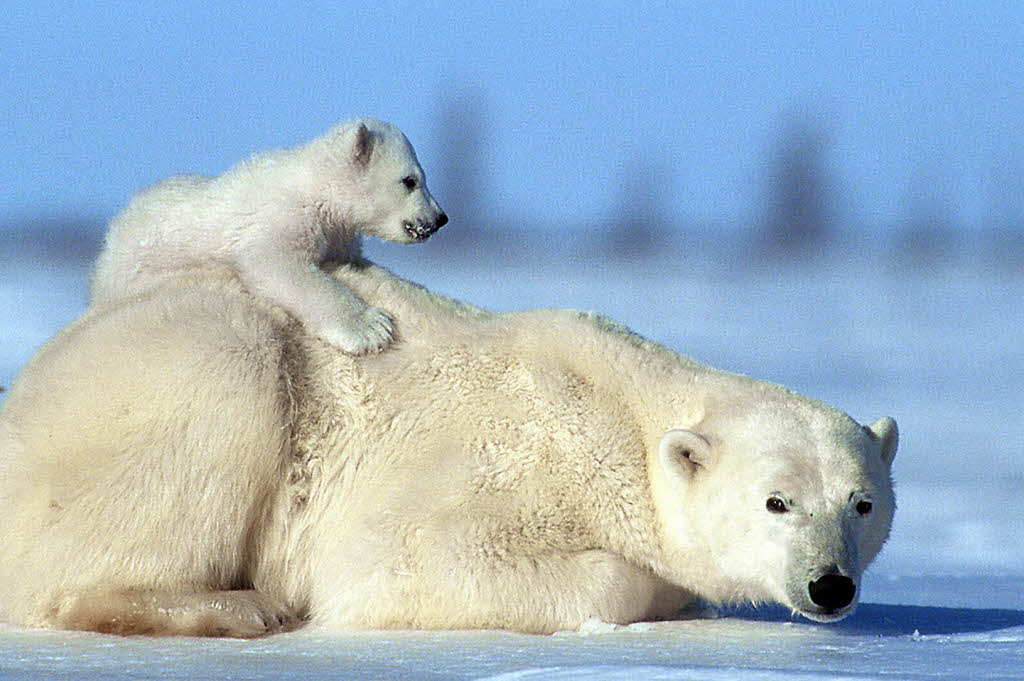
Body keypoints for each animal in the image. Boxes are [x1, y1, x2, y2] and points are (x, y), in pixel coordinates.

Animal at [0, 261, 897, 639]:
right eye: (776, 500)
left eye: (862, 502)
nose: (830, 584)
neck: (614, 409)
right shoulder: (509, 458)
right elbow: (407, 561)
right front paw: (655, 588)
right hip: (183, 378)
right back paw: (236, 606)